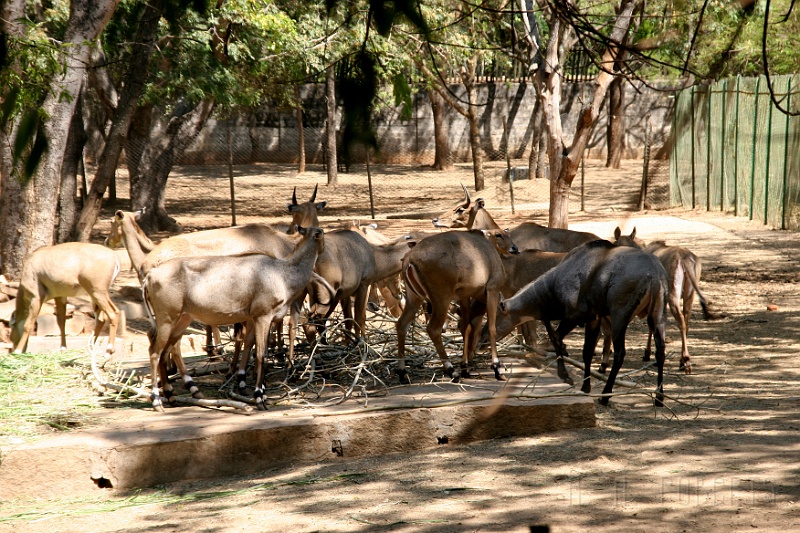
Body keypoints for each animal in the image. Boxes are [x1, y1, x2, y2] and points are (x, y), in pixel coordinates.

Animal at [142, 226, 332, 411]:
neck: (282, 272)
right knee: (155, 352)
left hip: (183, 319)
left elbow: (250, 345)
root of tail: (149, 276)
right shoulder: (263, 316)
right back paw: (158, 401)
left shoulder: (255, 318)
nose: (325, 251)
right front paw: (259, 397)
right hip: (167, 318)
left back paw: (172, 395)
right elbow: (261, 354)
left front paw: (254, 390)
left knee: (165, 350)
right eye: (322, 234)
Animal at [395, 229, 520, 384]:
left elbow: (466, 327)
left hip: (414, 298)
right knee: (433, 329)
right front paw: (497, 368)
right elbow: (491, 328)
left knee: (402, 324)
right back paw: (452, 371)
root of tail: (409, 259)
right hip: (441, 298)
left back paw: (403, 373)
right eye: (499, 235)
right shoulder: (492, 290)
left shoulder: (464, 296)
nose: (515, 248)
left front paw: (465, 367)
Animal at [496, 239, 669, 407]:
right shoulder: (593, 317)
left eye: (497, 317)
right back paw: (659, 398)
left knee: (620, 353)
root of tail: (655, 275)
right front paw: (586, 387)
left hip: (620, 315)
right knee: (660, 351)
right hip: (657, 314)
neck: (555, 283)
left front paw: (565, 376)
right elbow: (587, 351)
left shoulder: (575, 314)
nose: (489, 337)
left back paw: (605, 396)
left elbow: (556, 337)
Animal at [613, 227, 716, 374]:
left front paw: (648, 353)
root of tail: (684, 259)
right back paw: (682, 361)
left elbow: (652, 325)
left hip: (673, 294)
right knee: (686, 321)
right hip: (689, 295)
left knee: (681, 321)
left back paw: (686, 361)